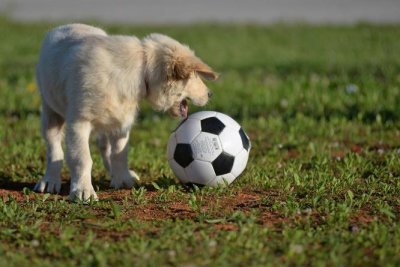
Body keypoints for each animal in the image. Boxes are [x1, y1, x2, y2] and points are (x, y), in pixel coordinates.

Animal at [33, 24, 219, 201]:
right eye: (195, 75)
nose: (210, 94)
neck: (141, 69)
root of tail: (66, 26)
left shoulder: (122, 123)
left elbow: (119, 154)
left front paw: (122, 179)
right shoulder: (78, 123)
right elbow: (82, 159)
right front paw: (83, 190)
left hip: (110, 120)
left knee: (105, 147)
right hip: (50, 112)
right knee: (54, 148)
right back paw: (50, 180)